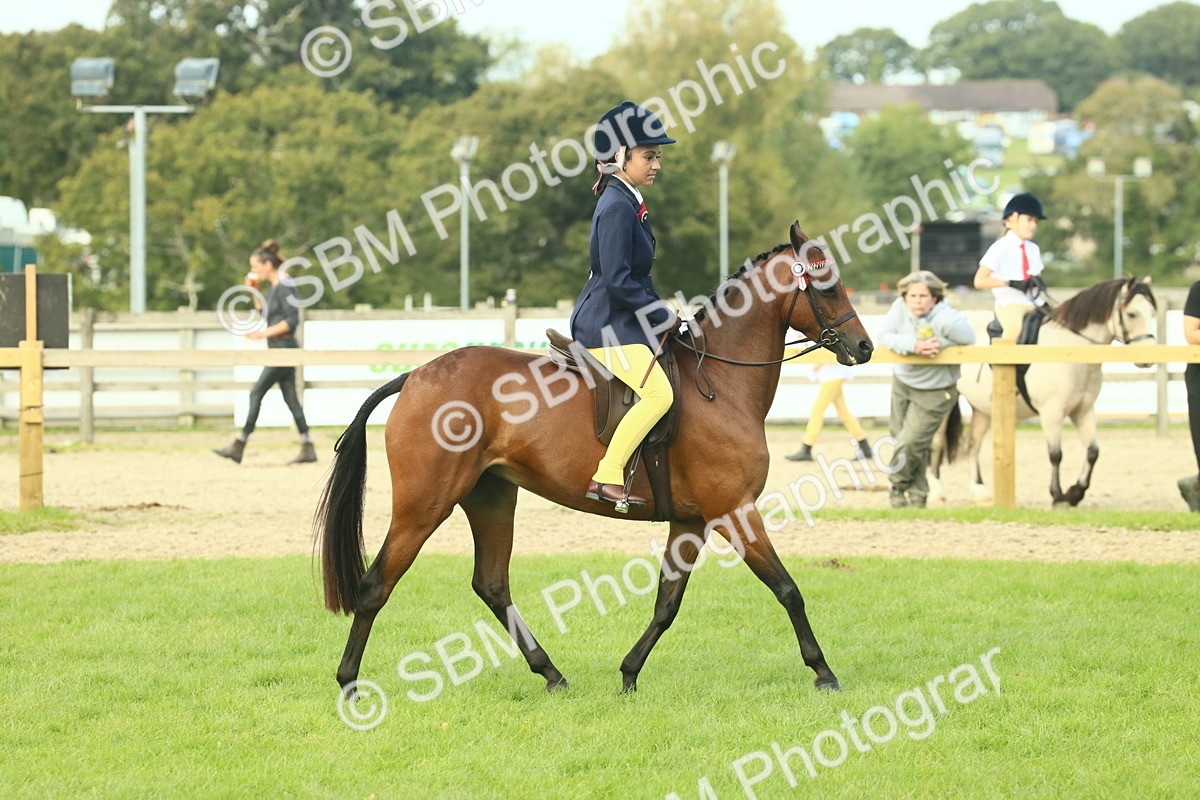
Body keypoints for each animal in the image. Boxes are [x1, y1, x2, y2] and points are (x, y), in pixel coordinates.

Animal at [314, 223, 875, 698]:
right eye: (827, 286)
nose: (865, 347)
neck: (721, 381)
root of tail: (415, 376)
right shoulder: (734, 510)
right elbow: (788, 589)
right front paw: (824, 672)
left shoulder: (691, 520)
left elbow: (667, 603)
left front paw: (628, 674)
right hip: (424, 505)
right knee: (376, 585)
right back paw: (349, 683)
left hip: (491, 497)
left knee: (491, 584)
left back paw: (551, 673)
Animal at [929, 277, 1157, 508]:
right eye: (1132, 314)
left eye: (1153, 313)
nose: (1148, 358)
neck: (1070, 349)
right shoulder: (1051, 412)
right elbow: (1056, 454)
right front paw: (1058, 495)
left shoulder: (1083, 410)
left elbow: (1093, 451)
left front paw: (1075, 493)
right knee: (936, 443)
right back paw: (936, 494)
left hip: (982, 407)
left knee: (973, 444)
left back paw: (980, 492)